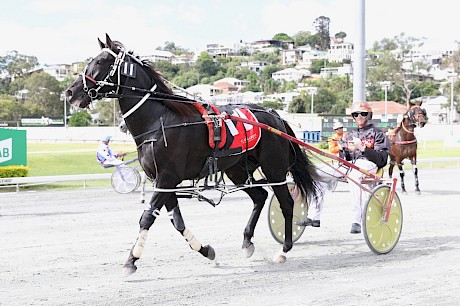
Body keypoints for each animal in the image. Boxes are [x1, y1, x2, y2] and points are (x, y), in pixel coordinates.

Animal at [64, 34, 320, 276]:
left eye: (98, 62)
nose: (70, 92)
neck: (160, 121)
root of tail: (274, 114)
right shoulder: (164, 182)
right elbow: (177, 221)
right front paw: (207, 251)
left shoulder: (167, 178)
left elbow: (147, 218)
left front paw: (131, 260)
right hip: (236, 169)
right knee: (260, 196)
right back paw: (247, 241)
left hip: (274, 168)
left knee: (286, 202)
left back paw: (284, 250)